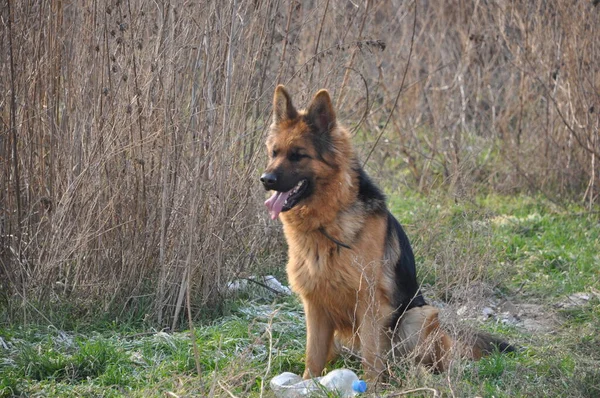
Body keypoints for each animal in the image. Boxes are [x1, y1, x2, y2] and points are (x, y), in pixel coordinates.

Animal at [260, 86, 512, 380]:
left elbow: (371, 357)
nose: (265, 180)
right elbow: (313, 357)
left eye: (298, 155)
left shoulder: (370, 306)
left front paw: (370, 385)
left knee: (423, 361)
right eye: (274, 153)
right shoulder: (315, 306)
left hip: (418, 317)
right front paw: (308, 384)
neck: (328, 221)